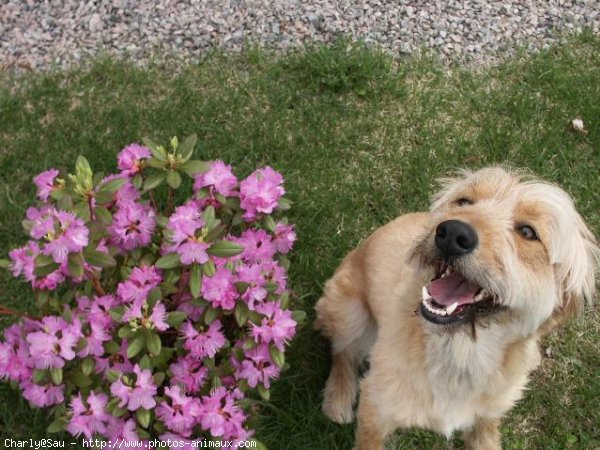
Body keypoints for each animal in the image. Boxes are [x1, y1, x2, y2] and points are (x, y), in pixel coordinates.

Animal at [316, 168, 596, 450]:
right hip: (348, 312)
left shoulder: (487, 419)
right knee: (343, 353)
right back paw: (338, 398)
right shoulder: (376, 407)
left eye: (528, 232)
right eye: (464, 202)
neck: (462, 350)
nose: (452, 233)